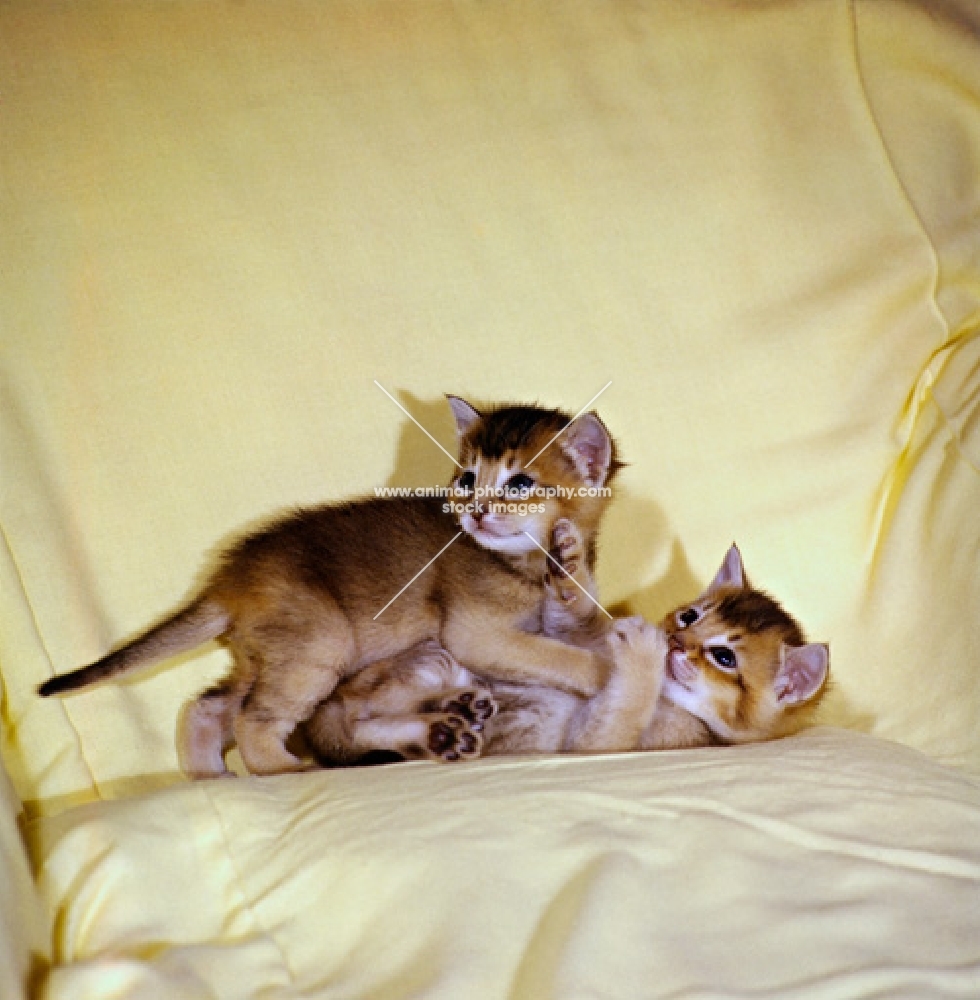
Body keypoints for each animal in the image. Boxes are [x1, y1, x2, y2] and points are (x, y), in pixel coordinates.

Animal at [40, 394, 620, 776]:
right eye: (467, 479)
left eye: (520, 483)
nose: (473, 512)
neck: (520, 564)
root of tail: (229, 575)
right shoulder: (477, 636)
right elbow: (560, 657)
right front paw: (608, 674)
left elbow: (577, 607)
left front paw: (573, 567)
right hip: (320, 647)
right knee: (260, 724)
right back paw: (289, 769)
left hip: (271, 656)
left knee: (210, 707)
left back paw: (211, 776)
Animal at [304, 536, 828, 760]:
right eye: (690, 617)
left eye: (724, 657)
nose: (677, 640)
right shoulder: (569, 640)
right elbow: (573, 621)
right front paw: (570, 564)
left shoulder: (598, 740)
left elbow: (622, 709)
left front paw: (642, 651)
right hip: (431, 662)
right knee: (351, 720)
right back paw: (453, 712)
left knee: (354, 724)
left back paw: (448, 725)